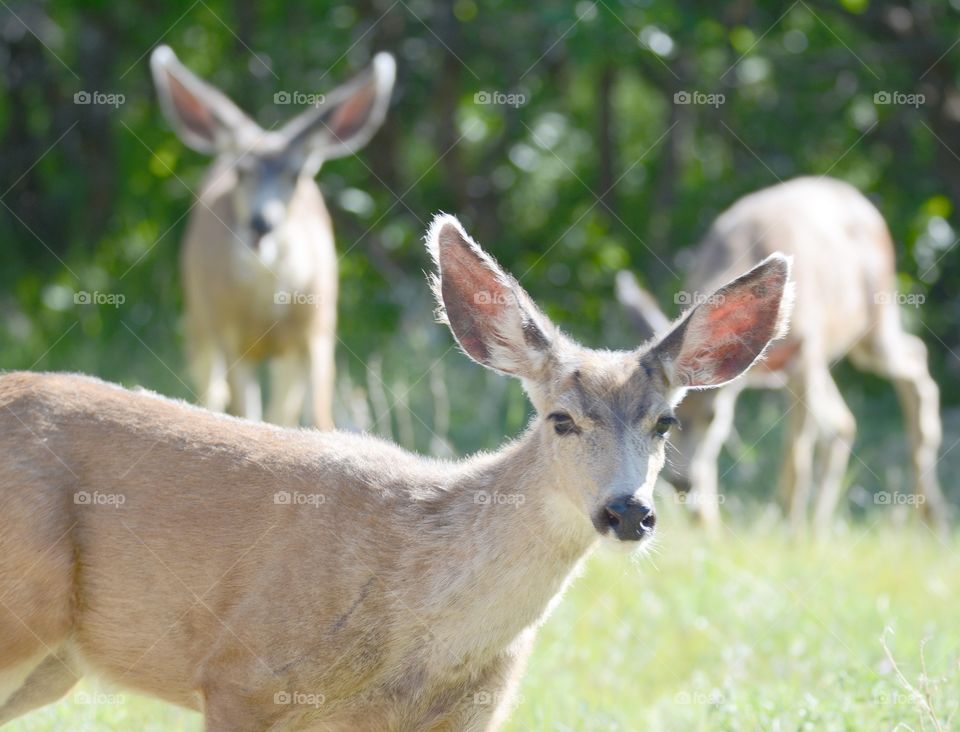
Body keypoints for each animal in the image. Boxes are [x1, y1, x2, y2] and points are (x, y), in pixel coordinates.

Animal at [0, 214, 791, 731]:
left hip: (54, 662)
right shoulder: (239, 675)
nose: (629, 511)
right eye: (561, 419)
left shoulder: (469, 715)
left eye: (665, 423)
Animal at [150, 46, 396, 430]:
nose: (261, 223)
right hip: (199, 316)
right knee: (211, 392)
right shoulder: (230, 333)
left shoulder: (319, 327)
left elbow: (317, 413)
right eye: (241, 172)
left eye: (296, 174)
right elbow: (244, 413)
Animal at [616, 176, 948, 533]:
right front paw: (708, 526)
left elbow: (796, 453)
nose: (682, 482)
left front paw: (791, 530)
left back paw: (930, 514)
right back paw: (825, 526)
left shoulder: (806, 352)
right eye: (676, 417)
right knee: (844, 420)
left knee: (915, 357)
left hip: (873, 324)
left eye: (712, 416)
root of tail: (861, 201)